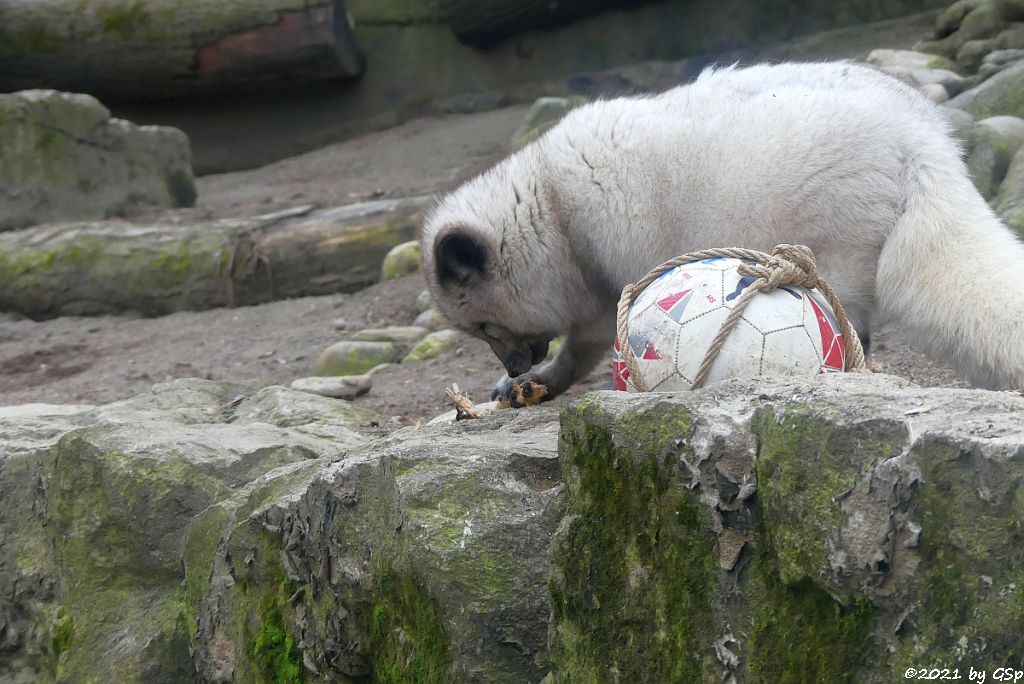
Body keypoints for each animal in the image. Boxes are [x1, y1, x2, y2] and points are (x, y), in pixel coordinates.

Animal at [417, 62, 1024, 401]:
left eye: (485, 327)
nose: (514, 364)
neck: (553, 209)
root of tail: (924, 141)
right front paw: (531, 382)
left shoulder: (610, 279)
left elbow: (590, 342)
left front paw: (541, 377)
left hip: (833, 259)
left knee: (846, 327)